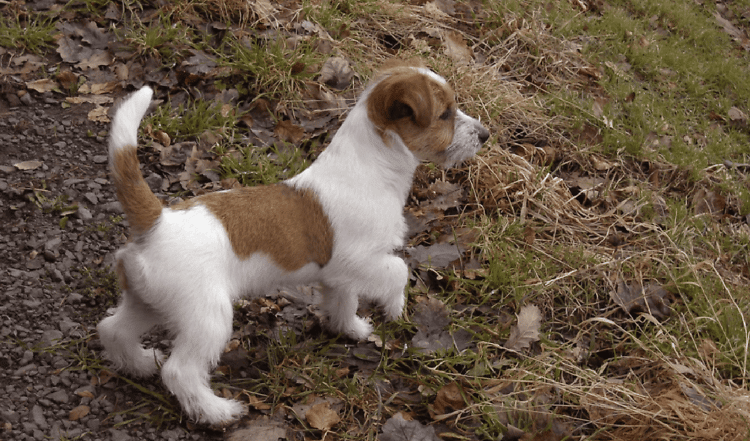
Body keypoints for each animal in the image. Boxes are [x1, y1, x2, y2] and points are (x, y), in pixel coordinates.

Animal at [97, 60, 490, 424]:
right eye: (445, 114)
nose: (486, 134)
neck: (371, 168)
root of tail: (156, 222)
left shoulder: (339, 275)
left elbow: (343, 300)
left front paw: (350, 328)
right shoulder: (362, 259)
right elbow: (398, 271)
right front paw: (394, 309)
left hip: (147, 301)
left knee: (112, 330)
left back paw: (140, 363)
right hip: (206, 317)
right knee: (180, 371)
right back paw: (216, 411)